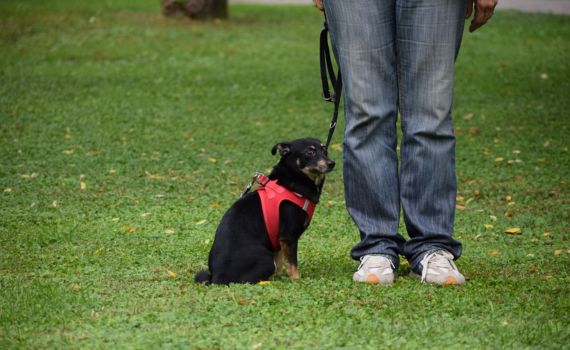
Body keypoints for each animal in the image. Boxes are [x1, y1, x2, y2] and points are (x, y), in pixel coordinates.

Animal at [194, 137, 332, 284]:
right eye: (310, 153)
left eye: (325, 149)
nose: (332, 163)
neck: (294, 180)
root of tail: (216, 278)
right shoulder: (288, 237)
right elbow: (291, 263)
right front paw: (296, 280)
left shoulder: (278, 240)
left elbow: (280, 262)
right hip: (266, 259)